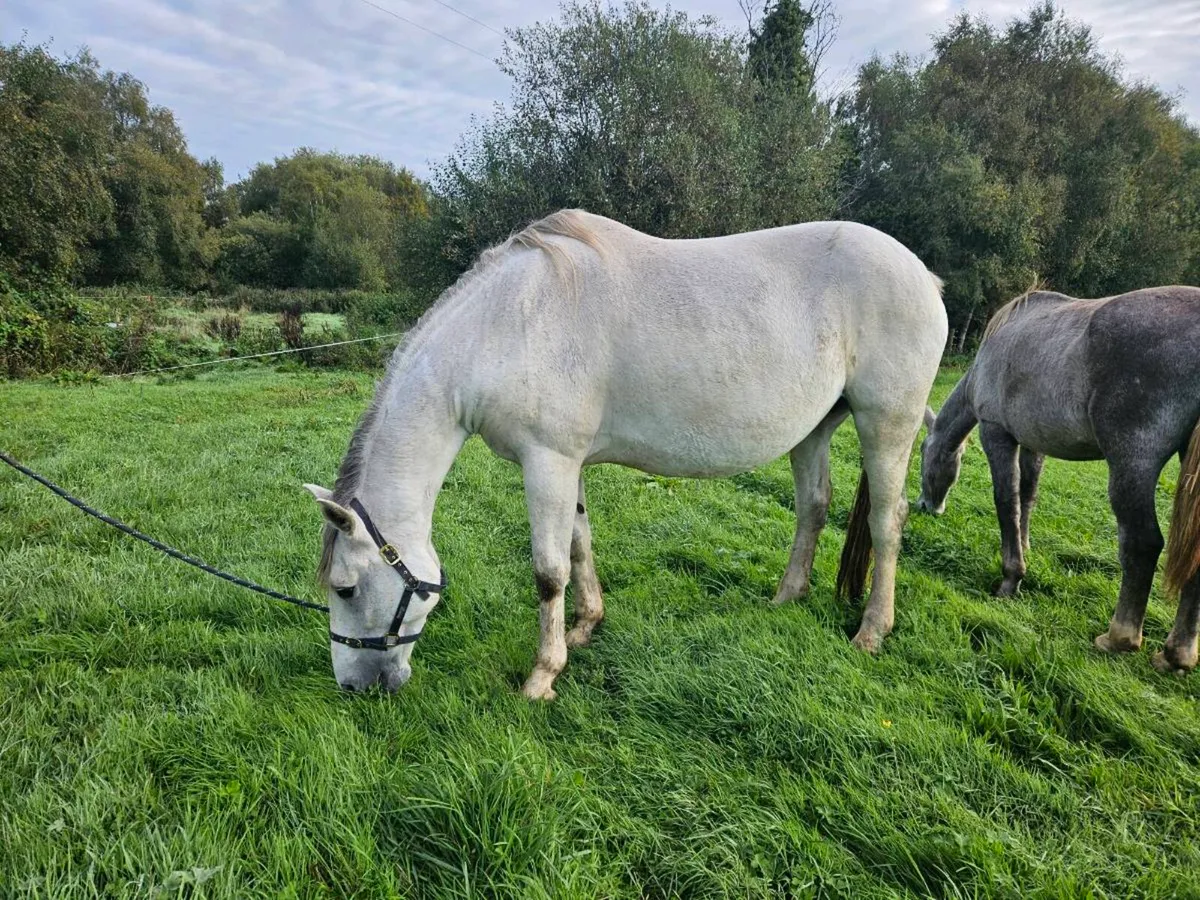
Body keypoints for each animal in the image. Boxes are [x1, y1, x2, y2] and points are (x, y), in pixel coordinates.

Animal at [304, 209, 948, 698]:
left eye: (346, 588)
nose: (356, 686)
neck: (509, 324)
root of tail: (925, 276)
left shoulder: (548, 462)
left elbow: (549, 571)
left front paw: (542, 676)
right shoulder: (569, 465)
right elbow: (579, 544)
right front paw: (585, 628)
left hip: (887, 425)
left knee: (888, 522)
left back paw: (872, 632)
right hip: (814, 430)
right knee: (814, 507)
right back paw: (787, 598)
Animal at [916, 286, 1200, 674]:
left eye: (921, 453)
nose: (927, 506)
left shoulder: (997, 432)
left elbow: (1006, 501)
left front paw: (1011, 577)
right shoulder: (1033, 443)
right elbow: (1027, 497)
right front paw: (1026, 547)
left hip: (1131, 463)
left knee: (1142, 544)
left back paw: (1118, 638)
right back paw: (1177, 654)